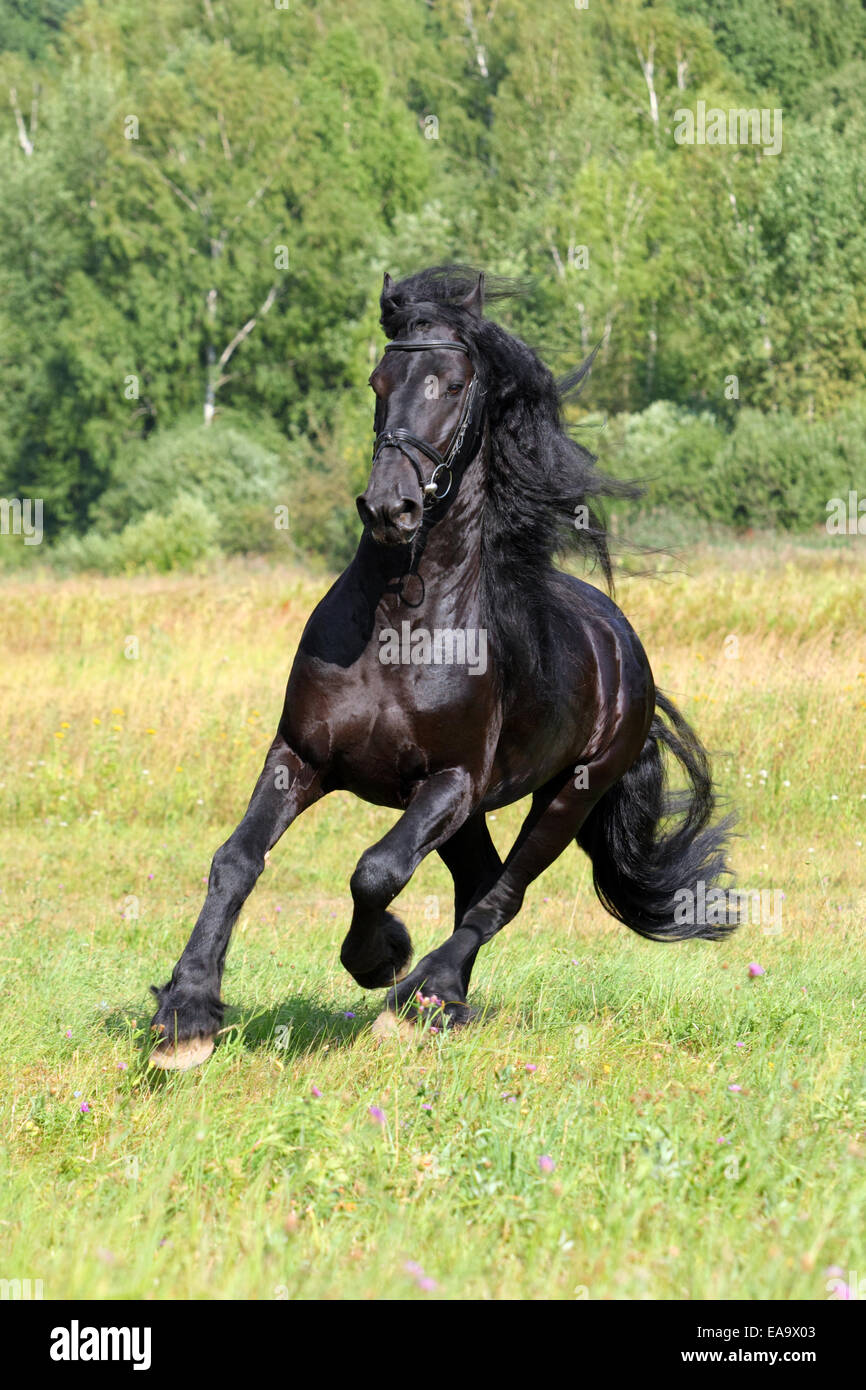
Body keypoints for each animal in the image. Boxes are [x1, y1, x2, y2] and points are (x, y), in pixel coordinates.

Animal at [152, 273, 733, 1073]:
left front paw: (380, 957)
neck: (399, 622)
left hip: (565, 795)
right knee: (478, 883)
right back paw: (443, 1003)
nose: (389, 506)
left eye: (453, 385)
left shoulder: (448, 782)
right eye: (378, 381)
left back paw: (421, 995)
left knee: (500, 895)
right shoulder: (301, 757)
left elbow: (376, 869)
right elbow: (236, 860)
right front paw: (186, 1015)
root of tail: (627, 651)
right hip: (470, 813)